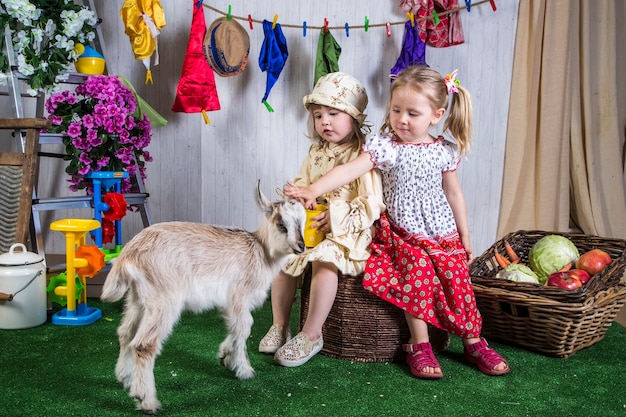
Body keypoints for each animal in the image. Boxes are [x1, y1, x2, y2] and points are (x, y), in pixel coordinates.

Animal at [100, 183, 304, 412]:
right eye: (281, 225)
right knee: (144, 344)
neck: (261, 251)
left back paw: (125, 378)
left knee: (126, 333)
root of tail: (128, 256)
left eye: (302, 221)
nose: (301, 247)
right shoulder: (239, 297)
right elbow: (244, 328)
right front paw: (244, 371)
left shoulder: (229, 304)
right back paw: (147, 400)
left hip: (138, 299)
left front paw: (225, 356)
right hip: (164, 299)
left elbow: (235, 328)